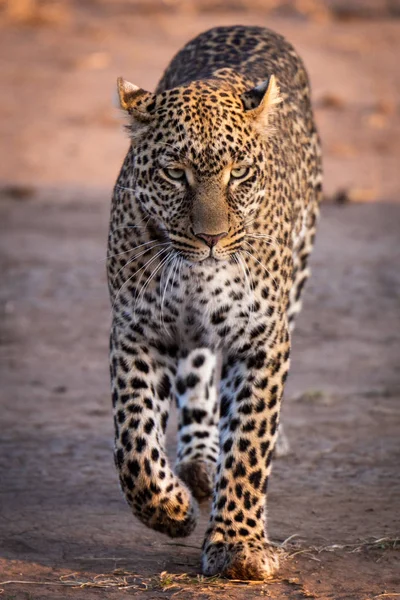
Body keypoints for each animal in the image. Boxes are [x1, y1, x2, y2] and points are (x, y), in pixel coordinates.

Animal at [108, 24, 324, 580]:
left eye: (240, 173)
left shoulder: (262, 339)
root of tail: (246, 25)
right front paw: (169, 509)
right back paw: (199, 461)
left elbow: (248, 444)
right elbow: (134, 438)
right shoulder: (138, 329)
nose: (212, 238)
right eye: (174, 173)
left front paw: (238, 545)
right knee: (198, 374)